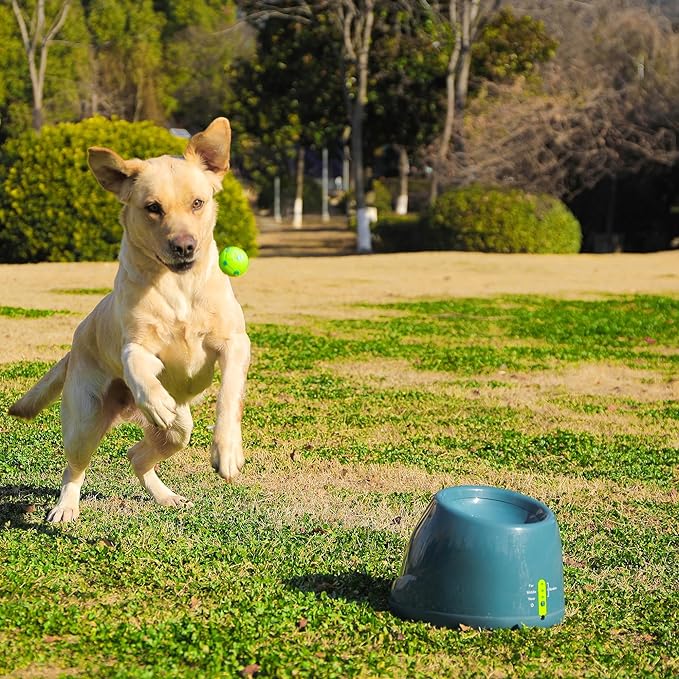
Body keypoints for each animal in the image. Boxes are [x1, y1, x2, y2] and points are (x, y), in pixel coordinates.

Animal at [7, 117, 252, 524]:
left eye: (197, 203)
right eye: (153, 207)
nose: (184, 246)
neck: (178, 286)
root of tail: (75, 345)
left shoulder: (235, 342)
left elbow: (229, 393)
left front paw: (227, 452)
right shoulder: (136, 345)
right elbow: (136, 365)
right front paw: (155, 399)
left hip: (177, 433)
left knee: (138, 454)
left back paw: (167, 496)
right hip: (85, 418)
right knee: (74, 467)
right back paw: (65, 508)